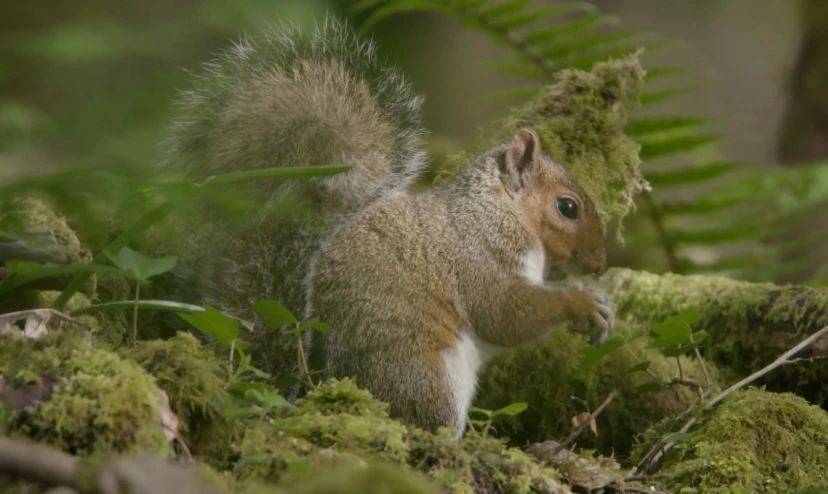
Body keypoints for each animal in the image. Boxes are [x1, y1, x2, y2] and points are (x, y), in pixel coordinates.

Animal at [160, 14, 616, 436]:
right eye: (568, 207)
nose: (599, 265)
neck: (497, 208)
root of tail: (316, 383)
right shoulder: (478, 253)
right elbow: (504, 310)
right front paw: (583, 302)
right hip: (424, 371)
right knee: (421, 423)